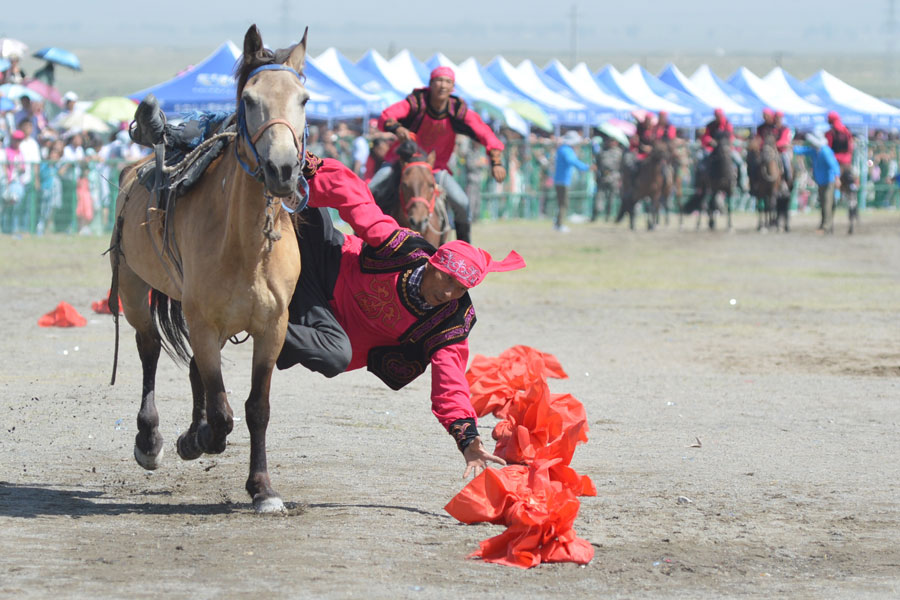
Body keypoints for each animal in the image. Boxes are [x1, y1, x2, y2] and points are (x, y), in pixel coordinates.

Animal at [106, 23, 306, 510]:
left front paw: (262, 488)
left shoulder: (272, 328)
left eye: (304, 100)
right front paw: (195, 440)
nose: (282, 169)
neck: (246, 247)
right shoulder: (204, 321)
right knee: (149, 349)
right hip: (136, 293)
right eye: (249, 100)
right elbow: (222, 413)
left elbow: (255, 408)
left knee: (195, 365)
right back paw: (151, 440)